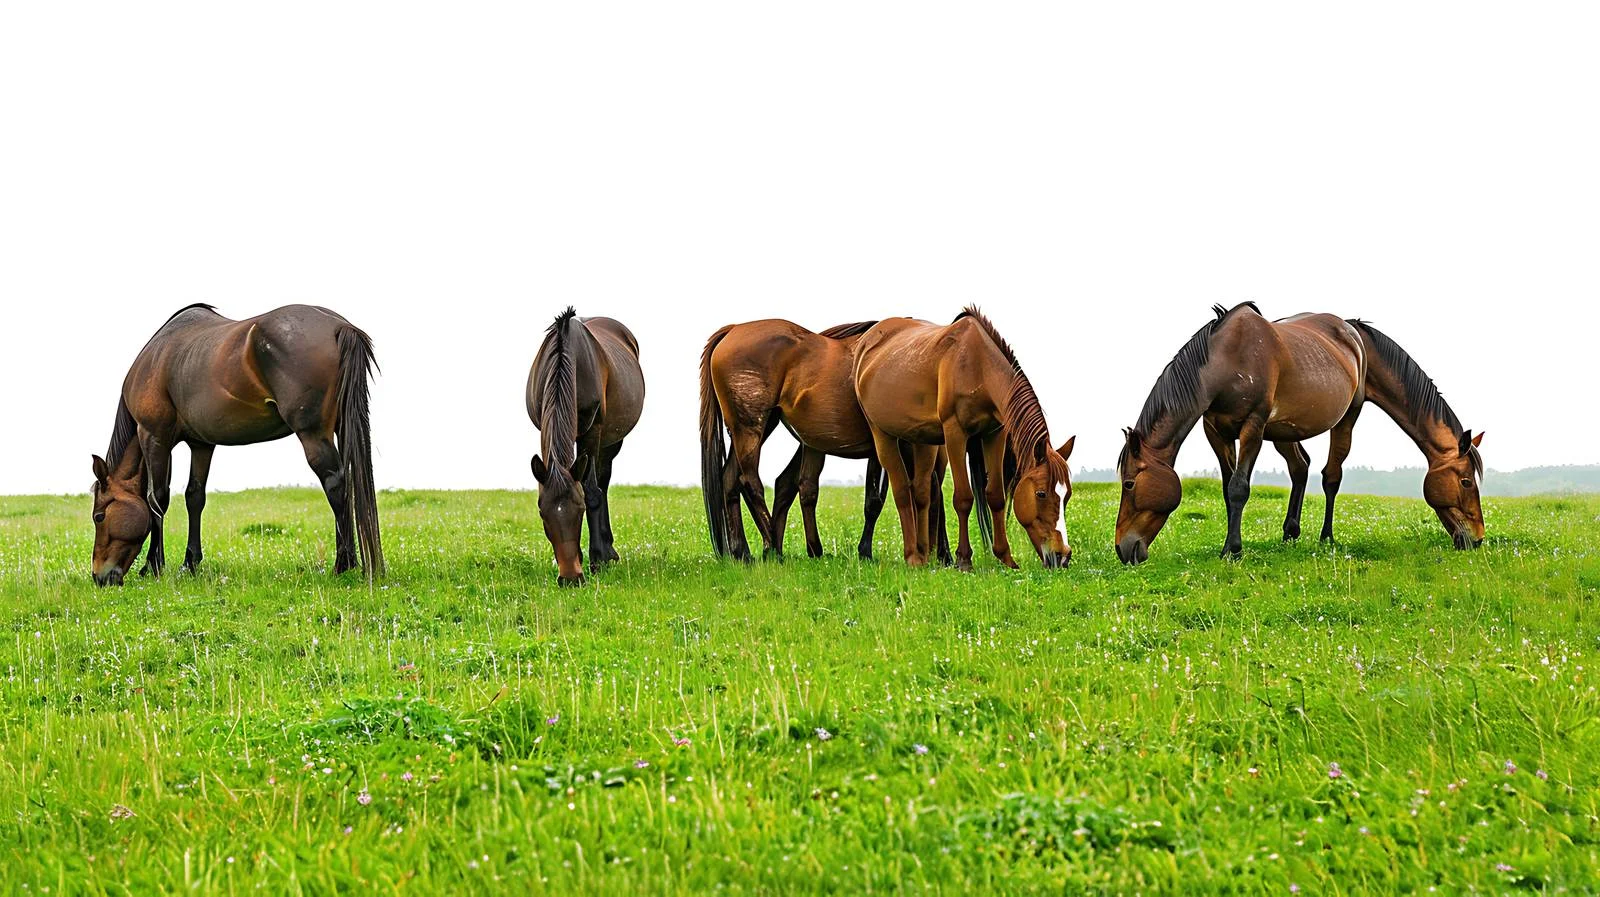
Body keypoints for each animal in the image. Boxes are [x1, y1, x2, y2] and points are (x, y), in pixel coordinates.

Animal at [90, 304, 383, 586]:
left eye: (99, 516)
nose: (99, 576)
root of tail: (338, 326)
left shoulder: (154, 436)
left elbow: (156, 499)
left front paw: (153, 565)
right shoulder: (201, 444)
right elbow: (194, 496)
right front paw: (190, 563)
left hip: (312, 434)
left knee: (335, 484)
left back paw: (343, 564)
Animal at [527, 308, 645, 586]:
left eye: (579, 509)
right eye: (542, 513)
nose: (570, 578)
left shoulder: (592, 433)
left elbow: (592, 491)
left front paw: (597, 558)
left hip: (611, 440)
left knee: (602, 482)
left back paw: (607, 551)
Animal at [700, 319, 942, 563]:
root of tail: (734, 329)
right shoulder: (891, 446)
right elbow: (882, 498)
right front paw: (866, 552)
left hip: (755, 427)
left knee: (730, 480)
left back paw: (743, 552)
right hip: (750, 428)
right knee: (750, 482)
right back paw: (773, 547)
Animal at [853, 307, 1075, 570]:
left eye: (1067, 495)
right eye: (1041, 493)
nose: (1062, 556)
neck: (977, 366)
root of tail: (867, 342)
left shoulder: (994, 434)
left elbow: (995, 496)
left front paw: (1006, 557)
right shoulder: (955, 434)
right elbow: (963, 498)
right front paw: (964, 559)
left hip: (921, 441)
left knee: (920, 492)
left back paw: (924, 554)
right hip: (883, 435)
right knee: (901, 492)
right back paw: (912, 556)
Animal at [1114, 302, 1368, 563]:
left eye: (1129, 484)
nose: (1122, 549)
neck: (1227, 363)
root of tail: (1349, 329)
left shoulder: (1253, 426)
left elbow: (1238, 487)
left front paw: (1232, 549)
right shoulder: (1216, 432)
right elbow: (1227, 489)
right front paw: (1233, 545)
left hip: (1347, 417)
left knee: (1331, 476)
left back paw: (1326, 536)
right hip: (1286, 432)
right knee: (1300, 468)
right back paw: (1290, 533)